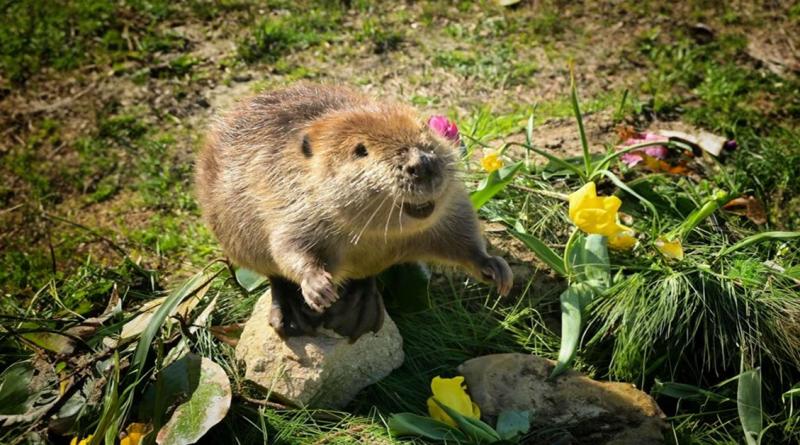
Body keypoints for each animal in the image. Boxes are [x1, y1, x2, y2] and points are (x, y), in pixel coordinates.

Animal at [197, 84, 516, 340]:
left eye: (425, 130)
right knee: (272, 273)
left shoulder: (450, 209)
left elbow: (462, 235)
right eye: (361, 149)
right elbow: (288, 247)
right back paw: (292, 314)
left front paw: (497, 270)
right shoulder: (290, 203)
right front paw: (319, 289)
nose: (422, 164)